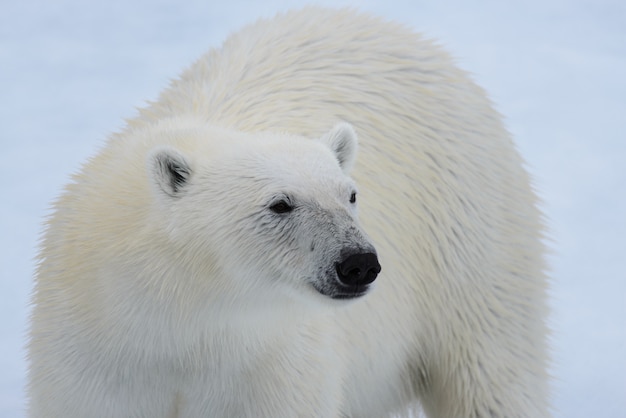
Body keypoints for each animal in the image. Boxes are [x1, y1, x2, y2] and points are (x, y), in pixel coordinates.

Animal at [26, 6, 548, 418]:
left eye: (350, 195)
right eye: (280, 203)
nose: (358, 264)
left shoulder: (273, 362)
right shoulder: (97, 352)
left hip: (468, 236)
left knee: (489, 375)